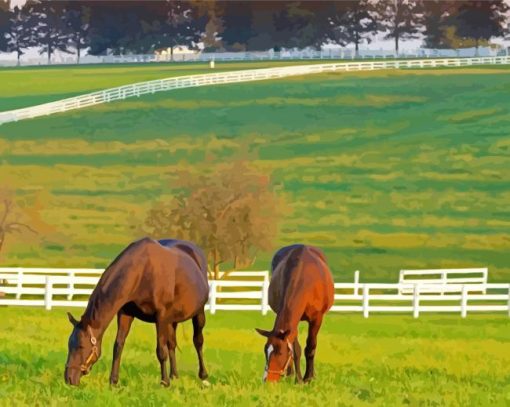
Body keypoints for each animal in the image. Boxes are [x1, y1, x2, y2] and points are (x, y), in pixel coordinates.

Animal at [64, 237, 209, 388]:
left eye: (81, 346)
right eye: (69, 344)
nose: (69, 378)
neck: (142, 272)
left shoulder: (161, 317)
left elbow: (161, 351)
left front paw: (164, 382)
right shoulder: (125, 314)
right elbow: (118, 346)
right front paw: (113, 381)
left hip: (198, 313)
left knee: (198, 341)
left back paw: (203, 376)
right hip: (172, 321)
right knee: (172, 344)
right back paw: (174, 375)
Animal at [255, 245, 334, 382]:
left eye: (280, 352)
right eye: (265, 350)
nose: (267, 380)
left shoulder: (317, 318)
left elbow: (310, 347)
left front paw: (308, 378)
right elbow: (295, 349)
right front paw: (297, 379)